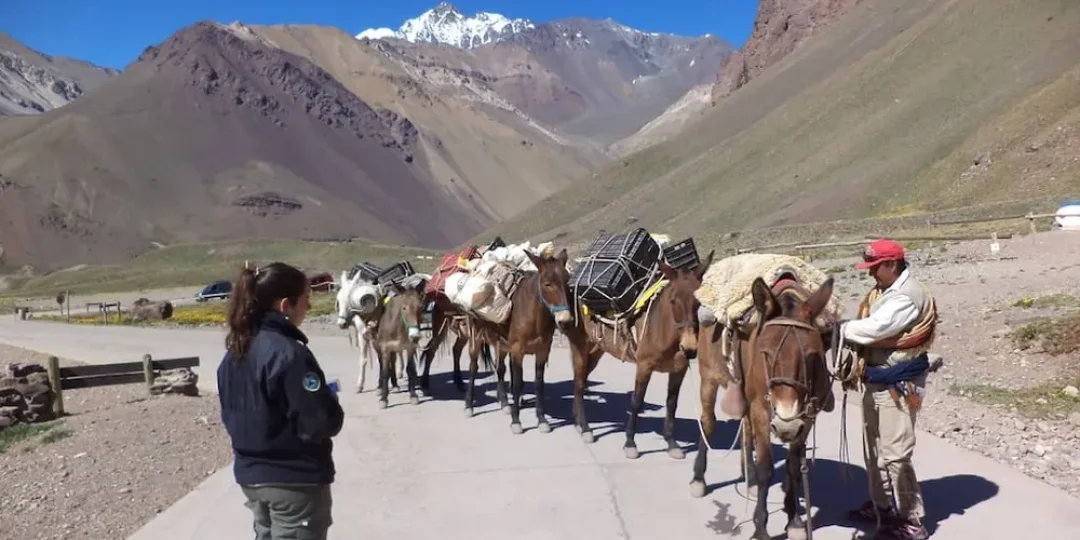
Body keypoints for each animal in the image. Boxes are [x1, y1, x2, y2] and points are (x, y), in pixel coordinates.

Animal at [373, 278, 429, 408]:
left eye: (421, 307)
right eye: (404, 308)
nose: (415, 336)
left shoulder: (409, 347)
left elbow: (410, 370)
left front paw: (413, 396)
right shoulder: (385, 348)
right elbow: (384, 372)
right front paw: (384, 399)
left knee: (393, 363)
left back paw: (395, 385)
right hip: (377, 346)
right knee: (381, 364)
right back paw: (380, 388)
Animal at [461, 248, 575, 434]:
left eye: (567, 282)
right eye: (547, 284)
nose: (565, 321)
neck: (533, 315)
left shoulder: (542, 351)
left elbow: (538, 384)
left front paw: (542, 420)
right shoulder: (517, 351)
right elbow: (517, 384)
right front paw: (516, 422)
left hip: (501, 344)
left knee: (500, 369)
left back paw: (505, 404)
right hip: (476, 339)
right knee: (473, 368)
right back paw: (469, 406)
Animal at [563, 251, 715, 456]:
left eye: (700, 301)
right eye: (673, 300)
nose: (689, 347)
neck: (663, 329)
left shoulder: (679, 370)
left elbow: (671, 403)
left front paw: (671, 442)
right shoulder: (644, 366)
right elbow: (637, 401)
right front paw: (630, 443)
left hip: (596, 350)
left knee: (582, 378)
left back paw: (578, 421)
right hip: (579, 346)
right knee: (579, 384)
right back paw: (586, 428)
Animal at [692, 275, 836, 540]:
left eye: (812, 355)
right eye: (765, 353)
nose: (786, 425)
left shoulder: (807, 418)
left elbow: (793, 466)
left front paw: (794, 520)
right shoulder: (761, 409)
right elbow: (765, 469)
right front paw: (760, 527)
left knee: (747, 431)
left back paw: (749, 483)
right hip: (709, 379)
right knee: (708, 423)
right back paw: (698, 479)